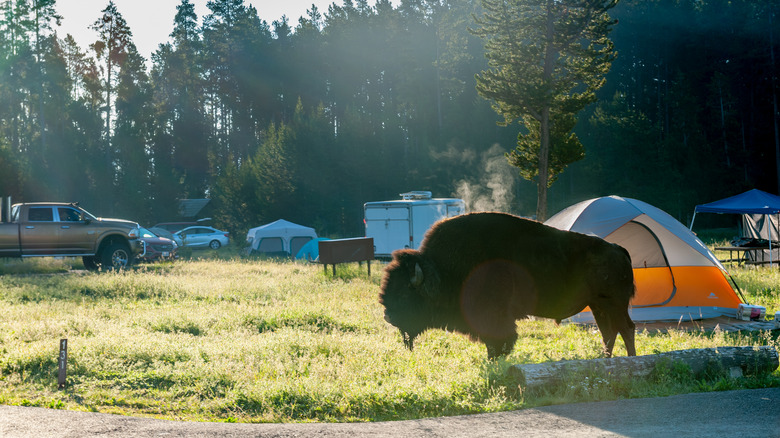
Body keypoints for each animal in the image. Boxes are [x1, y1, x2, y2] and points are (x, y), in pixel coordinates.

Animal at [380, 212, 636, 360]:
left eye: (405, 293)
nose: (388, 317)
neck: (442, 270)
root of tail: (618, 250)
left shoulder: (495, 316)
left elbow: (499, 341)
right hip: (598, 305)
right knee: (608, 333)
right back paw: (606, 361)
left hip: (615, 304)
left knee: (626, 329)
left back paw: (631, 361)